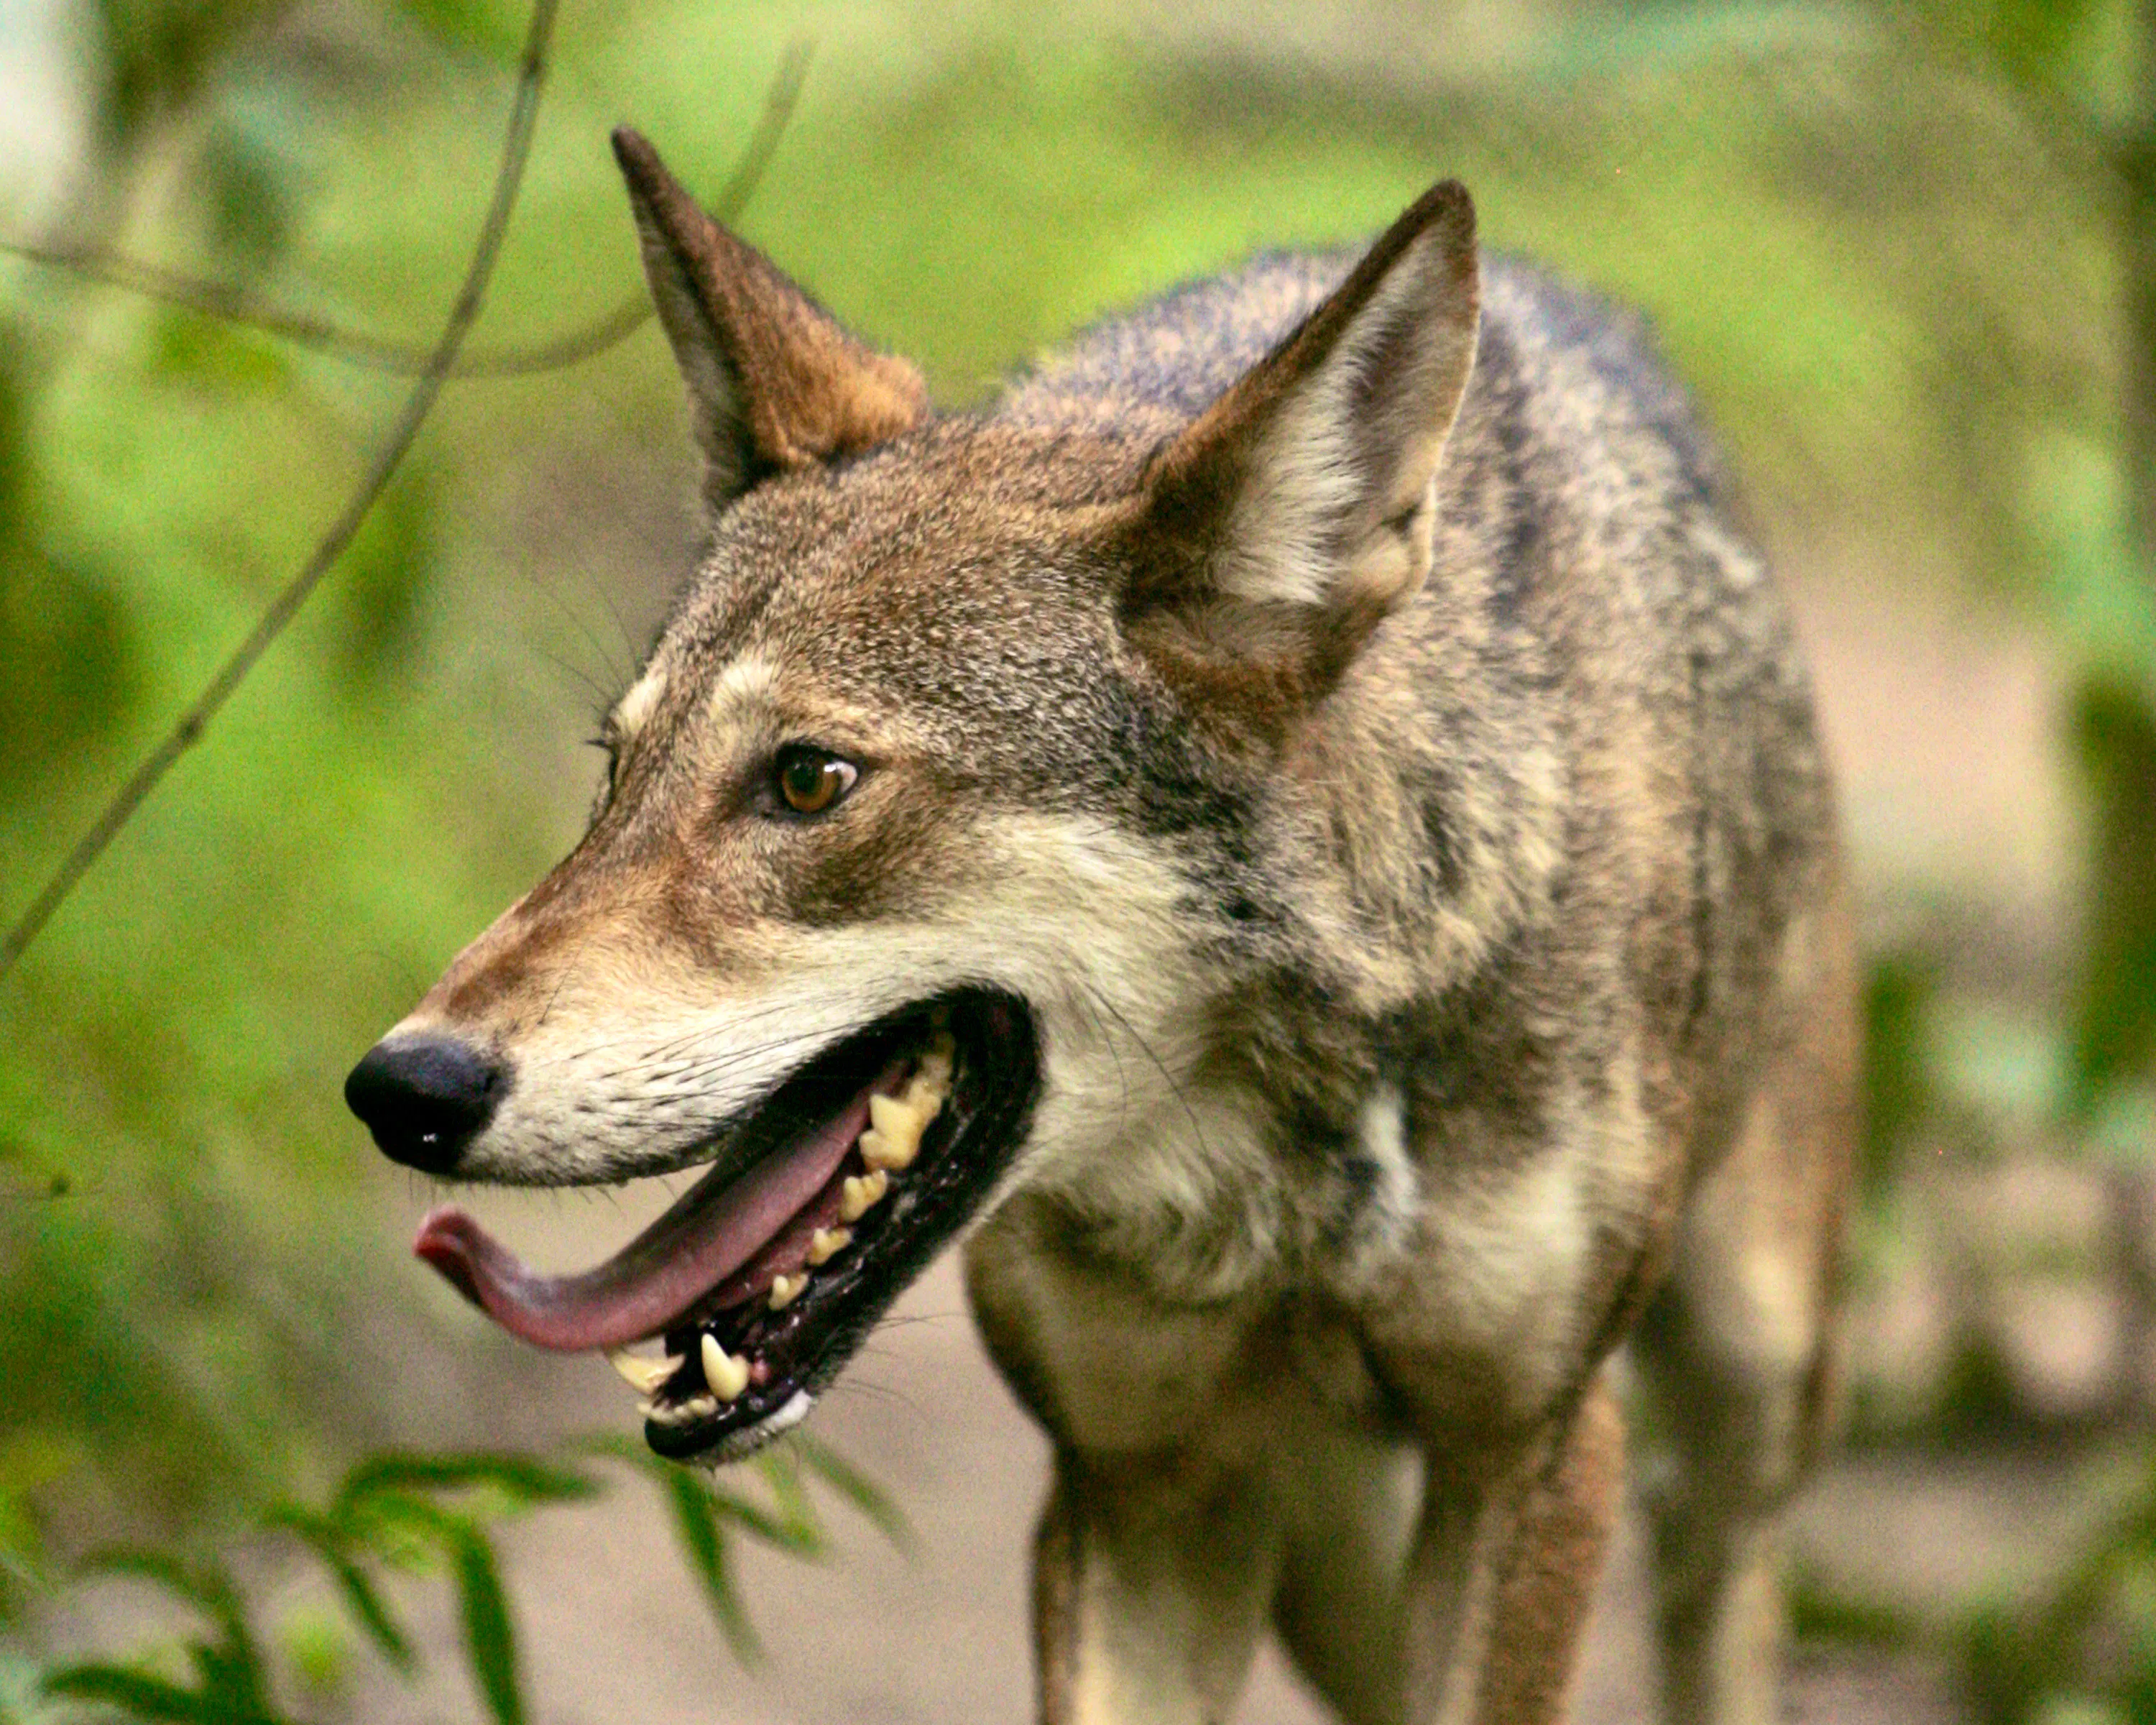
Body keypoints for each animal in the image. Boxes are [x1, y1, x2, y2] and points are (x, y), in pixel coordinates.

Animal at [345, 125, 1855, 1725]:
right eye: (617, 772)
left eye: (810, 782)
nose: (401, 1087)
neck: (1290, 1155)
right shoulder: (1137, 1488)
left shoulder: (1530, 1457)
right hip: (1326, 1548)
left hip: (1742, 1400)